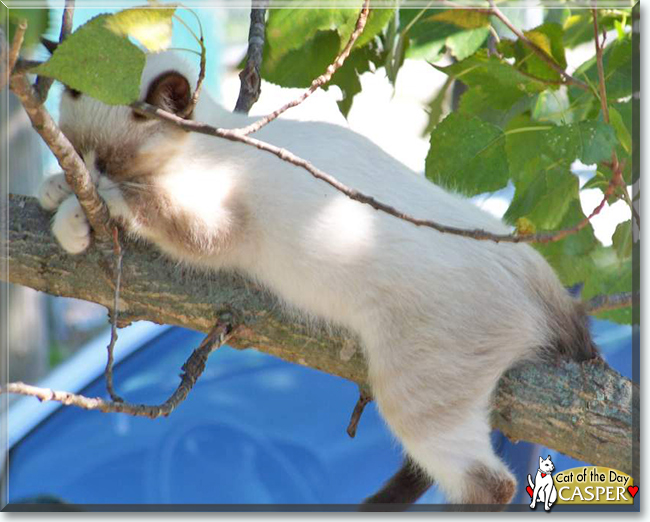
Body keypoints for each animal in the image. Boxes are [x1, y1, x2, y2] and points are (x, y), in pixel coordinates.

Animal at [38, 50, 596, 506]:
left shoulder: (212, 228)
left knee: (494, 485)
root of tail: (534, 272)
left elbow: (144, 204)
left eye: (109, 158)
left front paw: (90, 202)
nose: (91, 172)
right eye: (78, 151)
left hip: (411, 393)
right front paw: (61, 199)